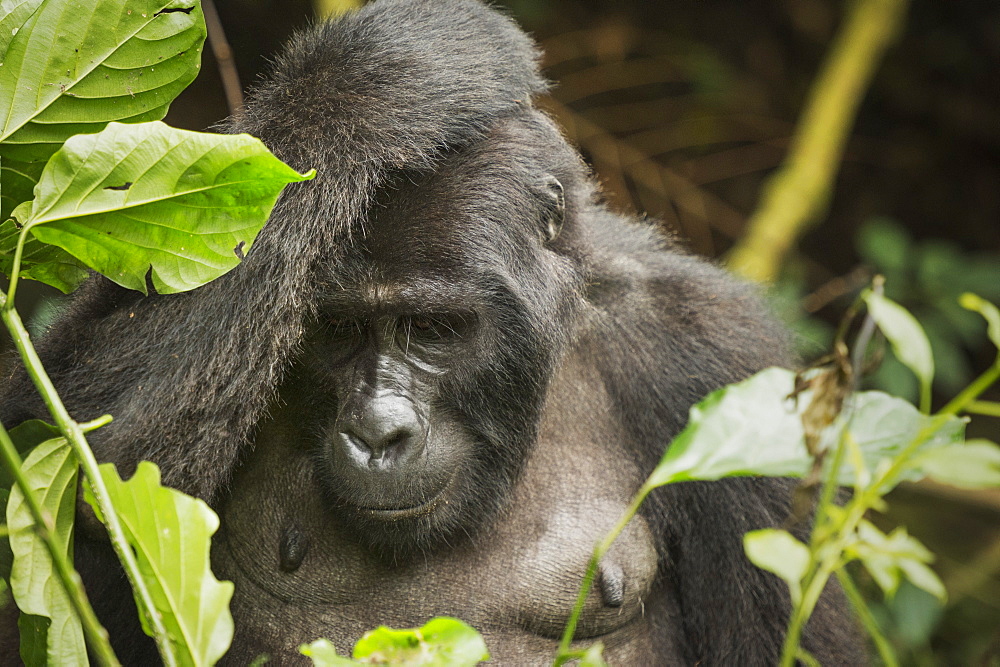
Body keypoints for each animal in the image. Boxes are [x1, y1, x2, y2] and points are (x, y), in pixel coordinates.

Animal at [0, 0, 864, 664]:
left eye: (434, 329)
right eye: (339, 329)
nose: (378, 431)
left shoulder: (719, 358)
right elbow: (73, 448)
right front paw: (376, 79)